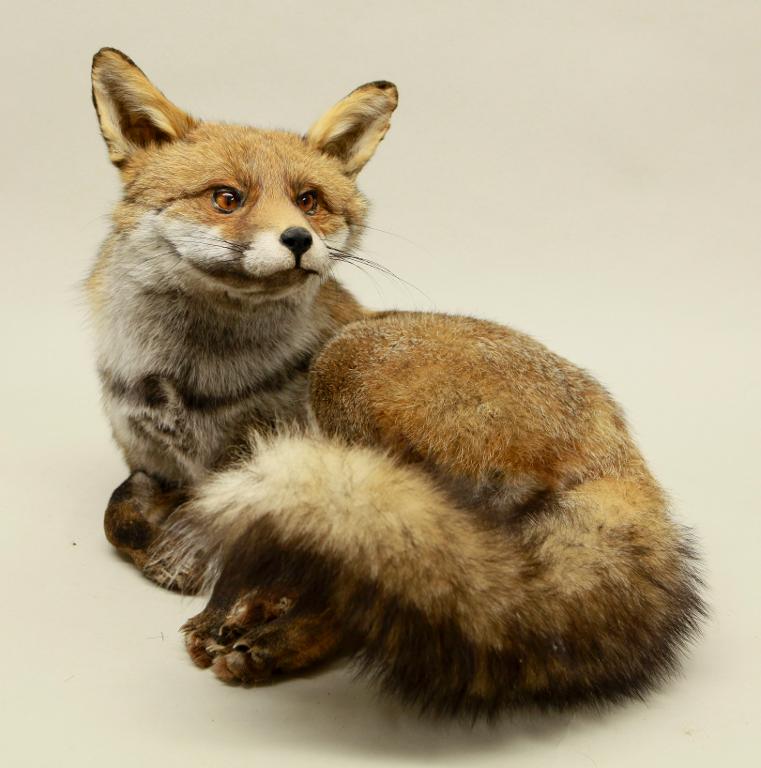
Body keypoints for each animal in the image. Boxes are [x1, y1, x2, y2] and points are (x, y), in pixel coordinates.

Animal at [88, 47, 704, 719]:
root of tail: (619, 447)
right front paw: (175, 548)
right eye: (227, 198)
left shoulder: (265, 462)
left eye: (309, 201)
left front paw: (203, 567)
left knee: (395, 574)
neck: (193, 384)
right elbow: (119, 517)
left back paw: (272, 638)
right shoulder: (150, 460)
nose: (298, 240)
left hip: (350, 365)